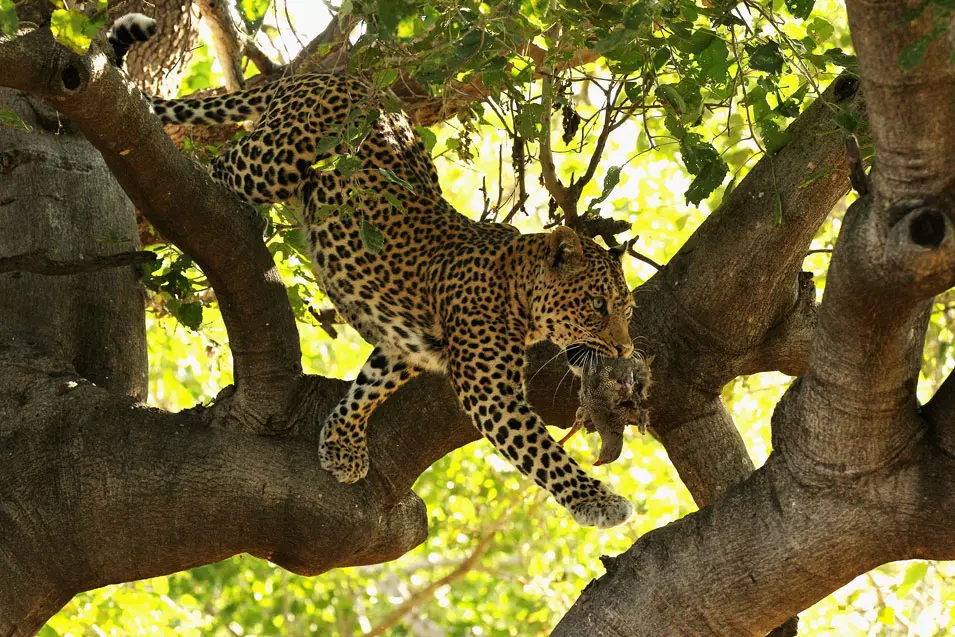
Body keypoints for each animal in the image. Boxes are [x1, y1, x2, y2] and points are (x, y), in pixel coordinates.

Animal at [110, 13, 636, 528]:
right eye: (597, 304)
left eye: (626, 311)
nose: (625, 349)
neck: (519, 295)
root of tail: (326, 76)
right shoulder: (490, 392)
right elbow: (543, 453)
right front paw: (599, 501)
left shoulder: (405, 348)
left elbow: (368, 387)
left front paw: (342, 446)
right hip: (274, 159)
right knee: (220, 164)